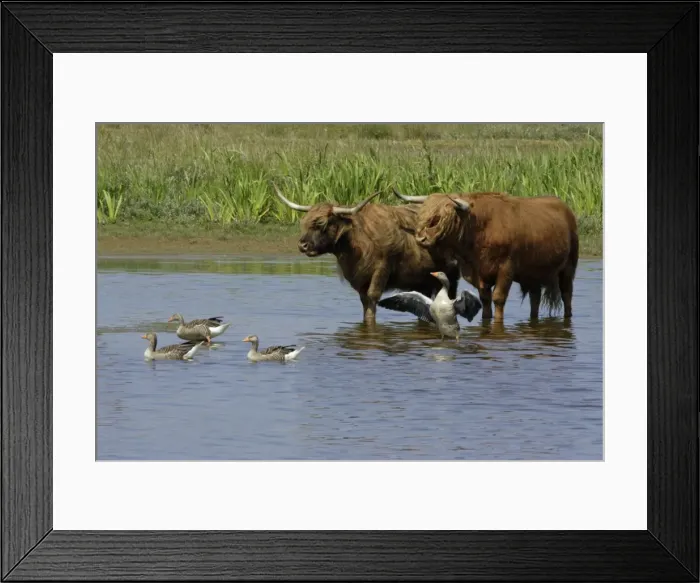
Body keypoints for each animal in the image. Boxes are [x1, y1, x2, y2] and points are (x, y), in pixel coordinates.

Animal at [272, 183, 461, 325]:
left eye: (321, 223)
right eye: (303, 222)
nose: (302, 245)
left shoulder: (382, 269)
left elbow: (372, 298)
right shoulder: (359, 279)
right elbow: (364, 301)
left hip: (451, 277)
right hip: (422, 278)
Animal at [392, 189, 579, 322]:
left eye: (440, 218)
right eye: (422, 215)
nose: (421, 238)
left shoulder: (506, 269)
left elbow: (498, 298)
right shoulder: (478, 273)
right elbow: (485, 299)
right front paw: (486, 319)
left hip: (569, 267)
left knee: (567, 294)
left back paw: (568, 316)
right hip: (533, 273)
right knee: (535, 297)